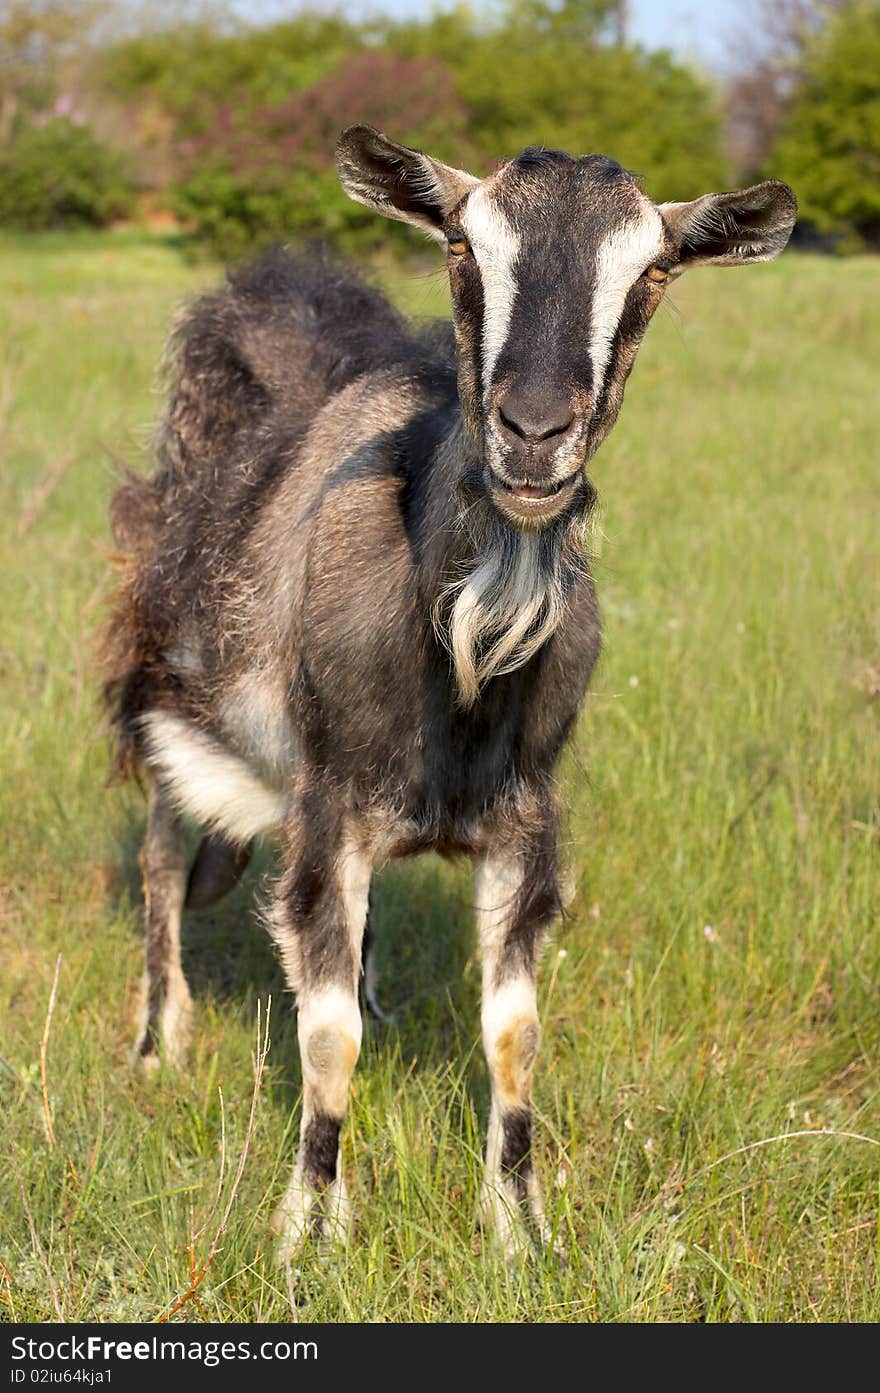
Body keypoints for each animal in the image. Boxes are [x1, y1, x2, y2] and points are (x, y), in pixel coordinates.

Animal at [105, 130, 796, 1259]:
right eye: (464, 249)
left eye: (652, 272)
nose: (533, 433)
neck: (462, 653)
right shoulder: (328, 803)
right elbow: (326, 1039)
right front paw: (309, 1234)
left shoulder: (525, 816)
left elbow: (514, 1034)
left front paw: (520, 1232)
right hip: (173, 706)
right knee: (164, 864)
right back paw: (160, 1042)